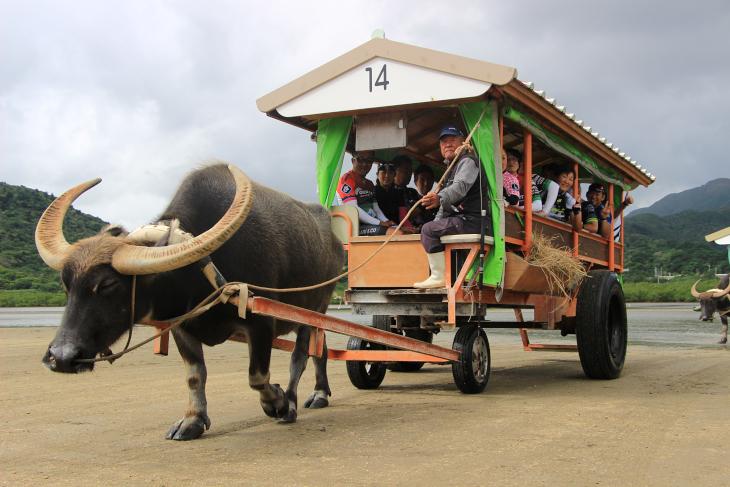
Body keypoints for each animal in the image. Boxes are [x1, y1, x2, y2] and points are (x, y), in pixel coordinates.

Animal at [37, 164, 346, 442]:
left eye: (108, 285)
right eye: (66, 284)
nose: (62, 357)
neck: (201, 270)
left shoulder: (260, 321)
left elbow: (257, 376)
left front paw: (278, 402)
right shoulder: (180, 324)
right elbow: (195, 375)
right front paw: (192, 421)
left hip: (314, 309)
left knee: (300, 356)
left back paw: (294, 403)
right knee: (321, 349)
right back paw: (320, 393)